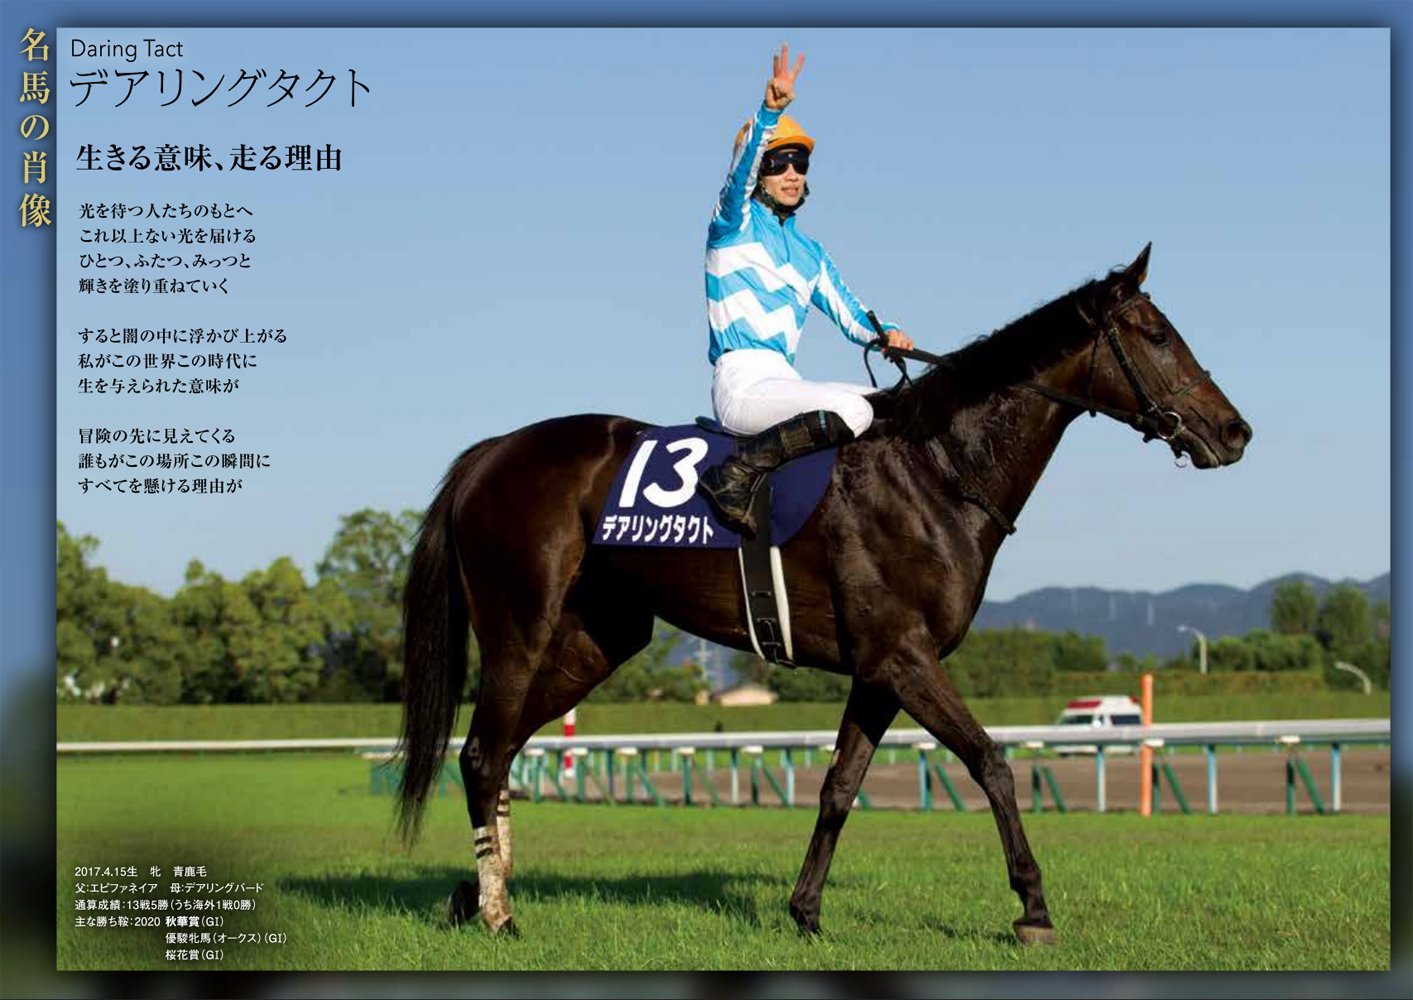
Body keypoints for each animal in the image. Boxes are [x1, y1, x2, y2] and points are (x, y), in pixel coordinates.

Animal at [395, 244, 1251, 944]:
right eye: (1154, 333)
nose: (1234, 431)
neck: (935, 469)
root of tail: (490, 454)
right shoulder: (905, 656)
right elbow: (989, 762)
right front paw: (1033, 908)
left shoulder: (878, 668)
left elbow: (841, 785)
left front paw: (805, 910)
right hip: (519, 628)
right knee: (480, 753)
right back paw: (498, 912)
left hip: (594, 640)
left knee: (500, 752)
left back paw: (477, 894)